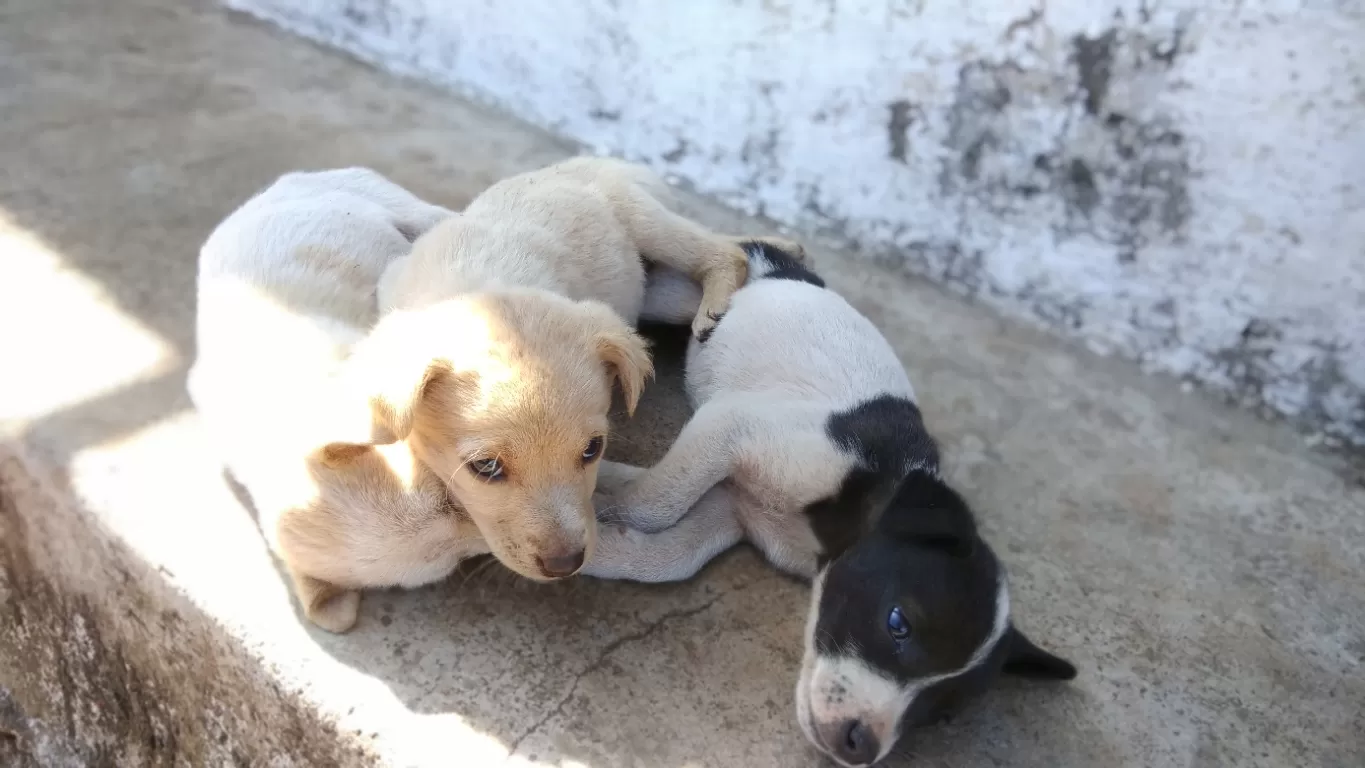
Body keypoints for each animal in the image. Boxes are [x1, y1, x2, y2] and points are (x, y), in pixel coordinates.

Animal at [324, 159, 797, 586]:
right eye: (486, 468)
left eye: (592, 450)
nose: (565, 564)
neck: (486, 287)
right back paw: (789, 249)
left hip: (647, 220)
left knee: (724, 251)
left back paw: (718, 302)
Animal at [586, 245, 1075, 768]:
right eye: (897, 623)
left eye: (941, 713)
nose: (859, 747)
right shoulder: (735, 426)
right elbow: (657, 503)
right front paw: (599, 503)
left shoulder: (733, 507)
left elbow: (673, 553)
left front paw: (606, 534)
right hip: (675, 296)